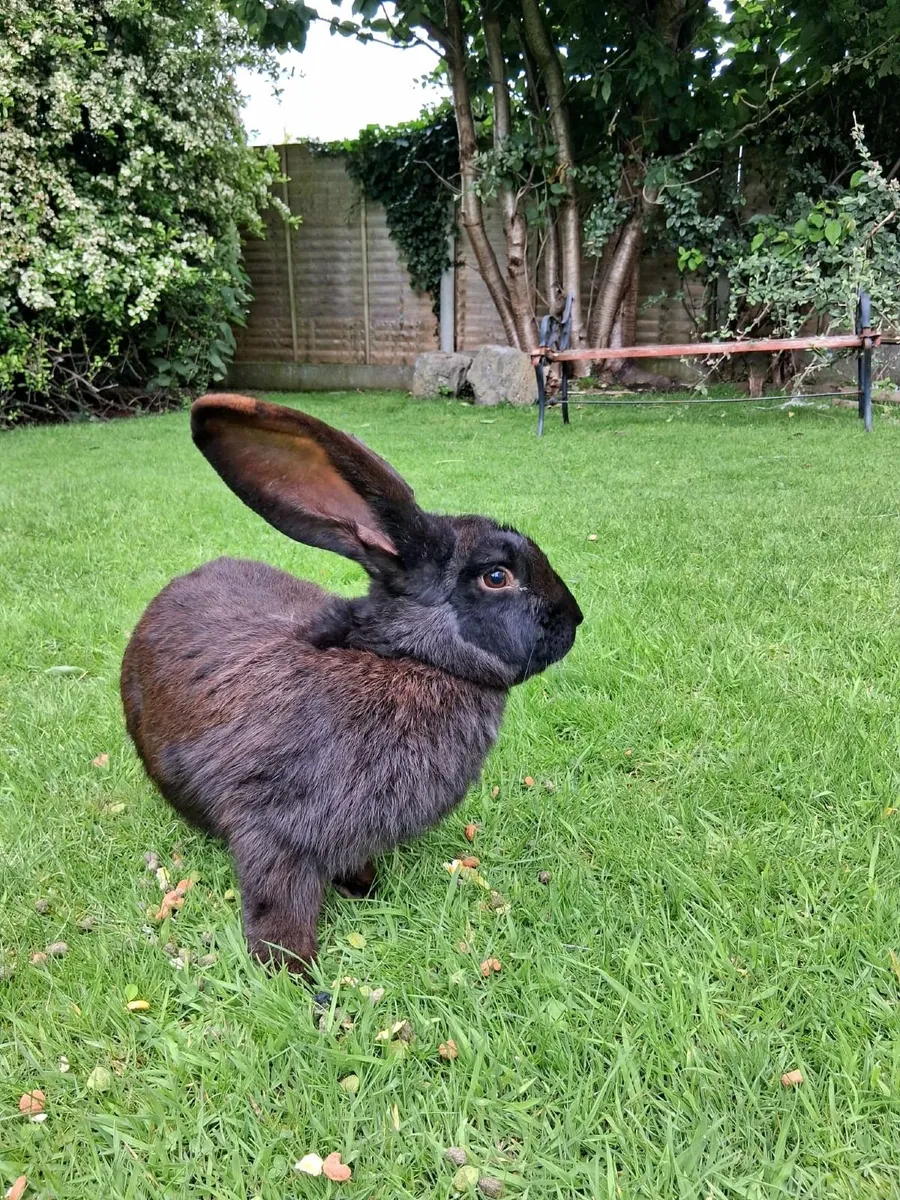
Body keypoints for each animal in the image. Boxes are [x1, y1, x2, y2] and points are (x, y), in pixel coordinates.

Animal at [121, 393, 582, 973]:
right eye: (496, 577)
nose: (575, 619)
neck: (409, 658)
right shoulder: (273, 834)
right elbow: (277, 899)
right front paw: (289, 968)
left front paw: (363, 885)